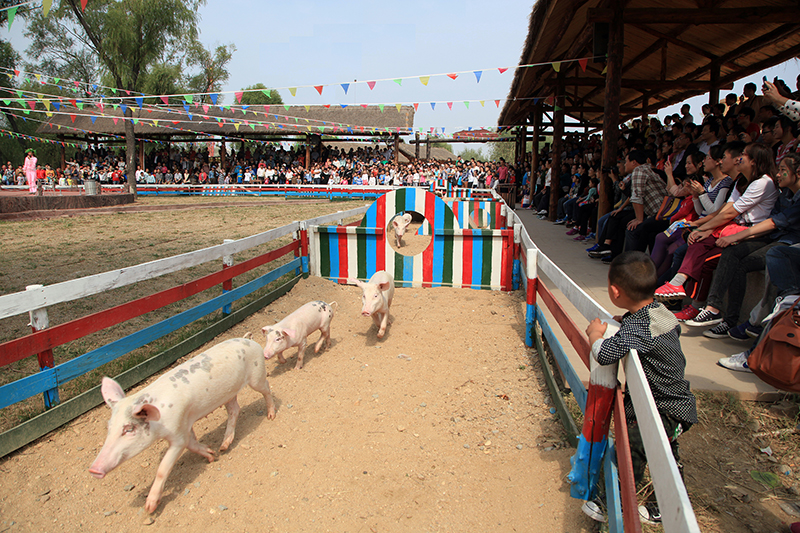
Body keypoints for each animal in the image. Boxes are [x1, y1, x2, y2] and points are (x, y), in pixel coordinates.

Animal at [89, 334, 275, 514]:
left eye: (129, 429)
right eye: (109, 427)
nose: (93, 470)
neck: (160, 422)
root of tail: (248, 340)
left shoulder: (178, 431)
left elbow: (164, 467)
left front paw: (150, 508)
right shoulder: (186, 423)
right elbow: (192, 443)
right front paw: (211, 455)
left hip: (257, 374)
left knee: (266, 388)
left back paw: (271, 415)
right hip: (229, 392)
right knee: (234, 409)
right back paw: (223, 447)